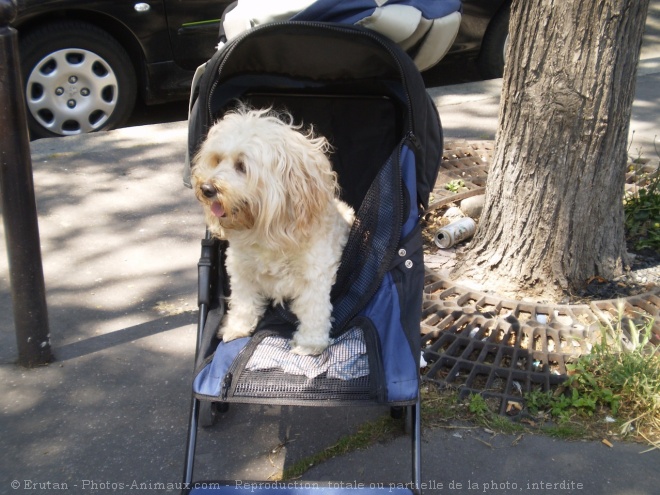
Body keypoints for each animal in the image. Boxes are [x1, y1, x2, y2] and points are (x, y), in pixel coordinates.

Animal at [191, 107, 356, 356]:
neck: (267, 230)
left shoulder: (314, 275)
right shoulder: (241, 270)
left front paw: (309, 343)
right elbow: (243, 302)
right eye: (217, 160)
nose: (206, 188)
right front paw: (237, 327)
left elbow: (314, 310)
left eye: (242, 166)